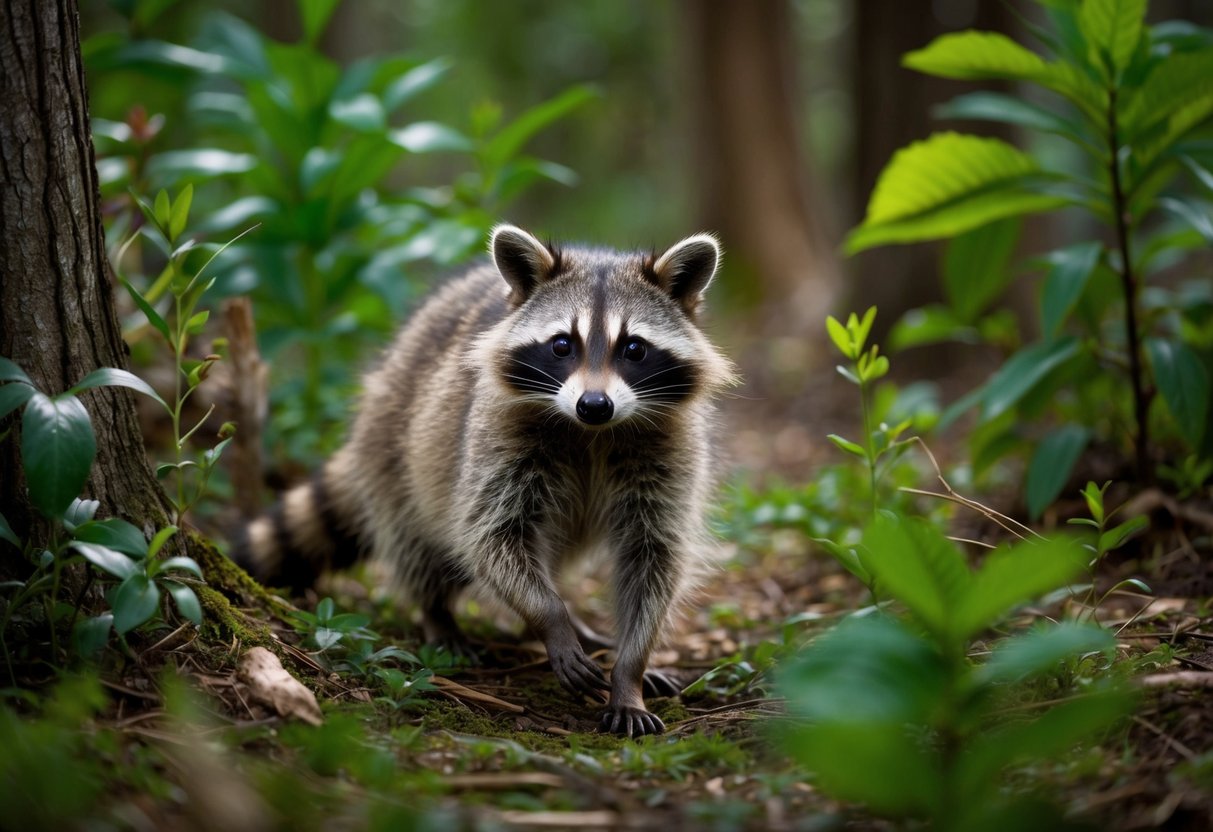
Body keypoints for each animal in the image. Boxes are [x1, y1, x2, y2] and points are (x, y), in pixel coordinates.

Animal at [234, 225, 737, 736]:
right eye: (562, 345)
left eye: (634, 348)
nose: (594, 405)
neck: (590, 433)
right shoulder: (495, 435)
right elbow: (490, 535)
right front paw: (551, 618)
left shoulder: (669, 453)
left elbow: (654, 557)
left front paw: (631, 671)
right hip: (395, 445)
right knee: (415, 538)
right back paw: (439, 612)